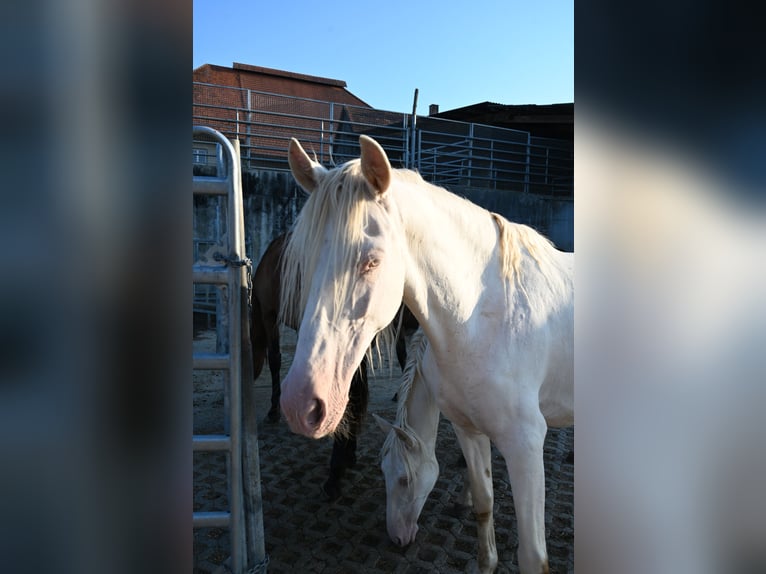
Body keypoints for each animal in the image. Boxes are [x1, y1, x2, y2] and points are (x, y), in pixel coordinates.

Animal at [278, 135, 574, 574]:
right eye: (306, 258)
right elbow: (483, 504)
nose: (300, 405)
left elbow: (533, 556)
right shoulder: (469, 429)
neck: (482, 318)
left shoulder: (526, 444)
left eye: (372, 261)